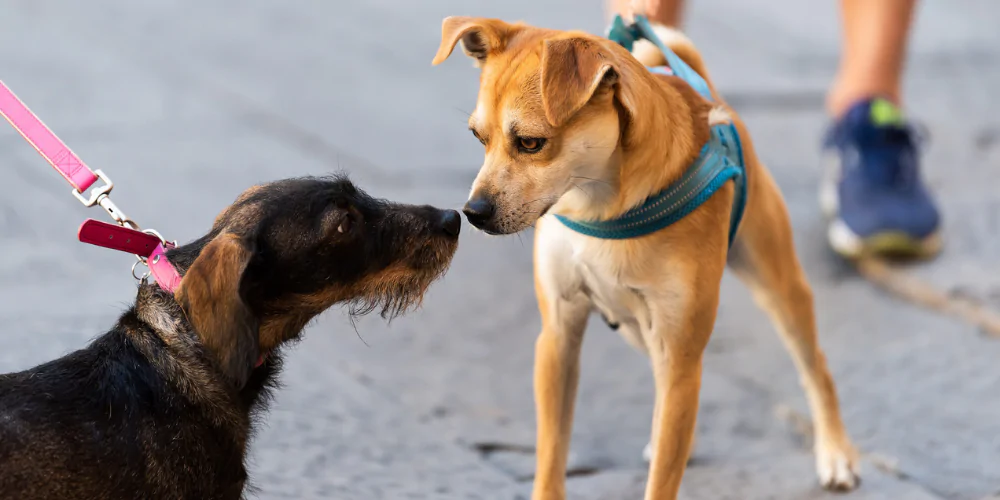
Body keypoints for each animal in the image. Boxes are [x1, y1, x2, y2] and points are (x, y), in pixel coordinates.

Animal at [434, 15, 864, 500]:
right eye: (478, 138)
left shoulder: (679, 354)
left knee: (815, 367)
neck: (598, 203)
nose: (473, 212)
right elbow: (551, 455)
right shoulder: (558, 338)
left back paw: (835, 452)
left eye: (530, 143)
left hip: (775, 285)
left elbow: (662, 478)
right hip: (638, 328)